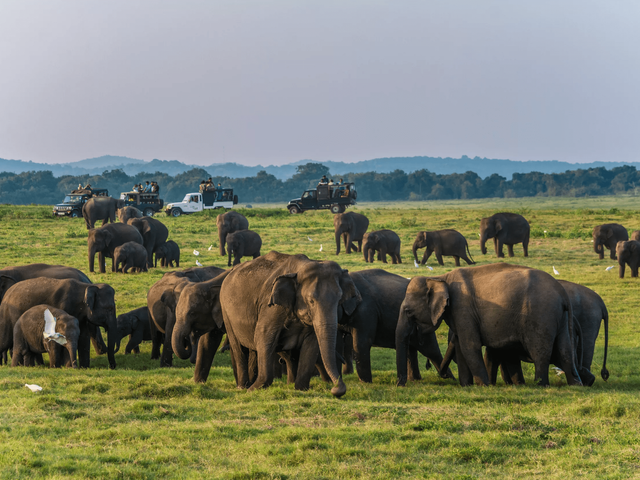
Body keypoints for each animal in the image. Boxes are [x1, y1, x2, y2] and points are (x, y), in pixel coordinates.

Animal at [219, 251, 360, 398]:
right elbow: (264, 336)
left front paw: (301, 389)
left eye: (339, 300)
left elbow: (311, 344)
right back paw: (243, 386)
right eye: (311, 301)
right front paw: (253, 390)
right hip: (226, 311)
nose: (335, 390)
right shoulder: (271, 307)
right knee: (238, 348)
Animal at [398, 264, 584, 388]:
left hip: (541, 315)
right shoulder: (459, 313)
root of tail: (562, 292)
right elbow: (461, 346)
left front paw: (483, 385)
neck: (440, 277)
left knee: (540, 352)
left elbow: (469, 346)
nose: (442, 375)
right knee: (565, 351)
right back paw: (575, 385)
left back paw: (540, 384)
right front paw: (467, 386)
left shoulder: (463, 307)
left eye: (408, 311)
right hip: (560, 318)